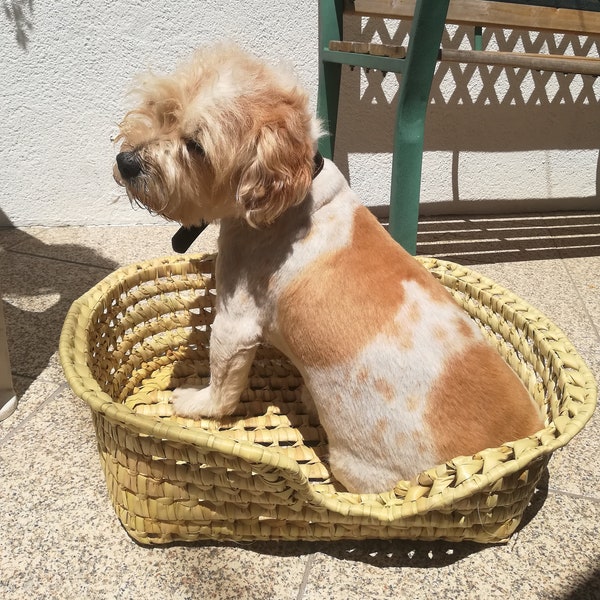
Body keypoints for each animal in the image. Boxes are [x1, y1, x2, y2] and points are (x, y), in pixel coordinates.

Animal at [112, 43, 544, 492]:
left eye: (195, 146)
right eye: (162, 109)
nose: (126, 162)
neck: (291, 200)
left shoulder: (236, 319)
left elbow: (223, 386)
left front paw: (197, 403)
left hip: (356, 467)